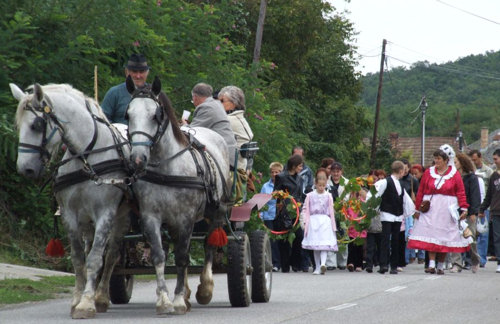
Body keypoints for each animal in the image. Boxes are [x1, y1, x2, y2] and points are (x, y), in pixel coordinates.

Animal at [11, 83, 133, 318]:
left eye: (37, 125)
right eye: (19, 125)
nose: (25, 169)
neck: (86, 156)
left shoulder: (105, 213)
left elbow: (96, 258)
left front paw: (86, 303)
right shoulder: (70, 214)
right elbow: (78, 258)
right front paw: (78, 298)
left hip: (121, 218)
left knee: (111, 255)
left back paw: (101, 297)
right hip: (87, 221)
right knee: (90, 249)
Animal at [127, 75, 232, 314]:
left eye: (155, 115)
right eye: (128, 114)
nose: (137, 159)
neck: (167, 168)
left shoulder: (185, 218)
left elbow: (183, 258)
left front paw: (177, 300)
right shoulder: (151, 217)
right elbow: (160, 257)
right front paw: (166, 300)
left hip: (216, 212)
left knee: (209, 245)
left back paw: (204, 289)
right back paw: (185, 293)